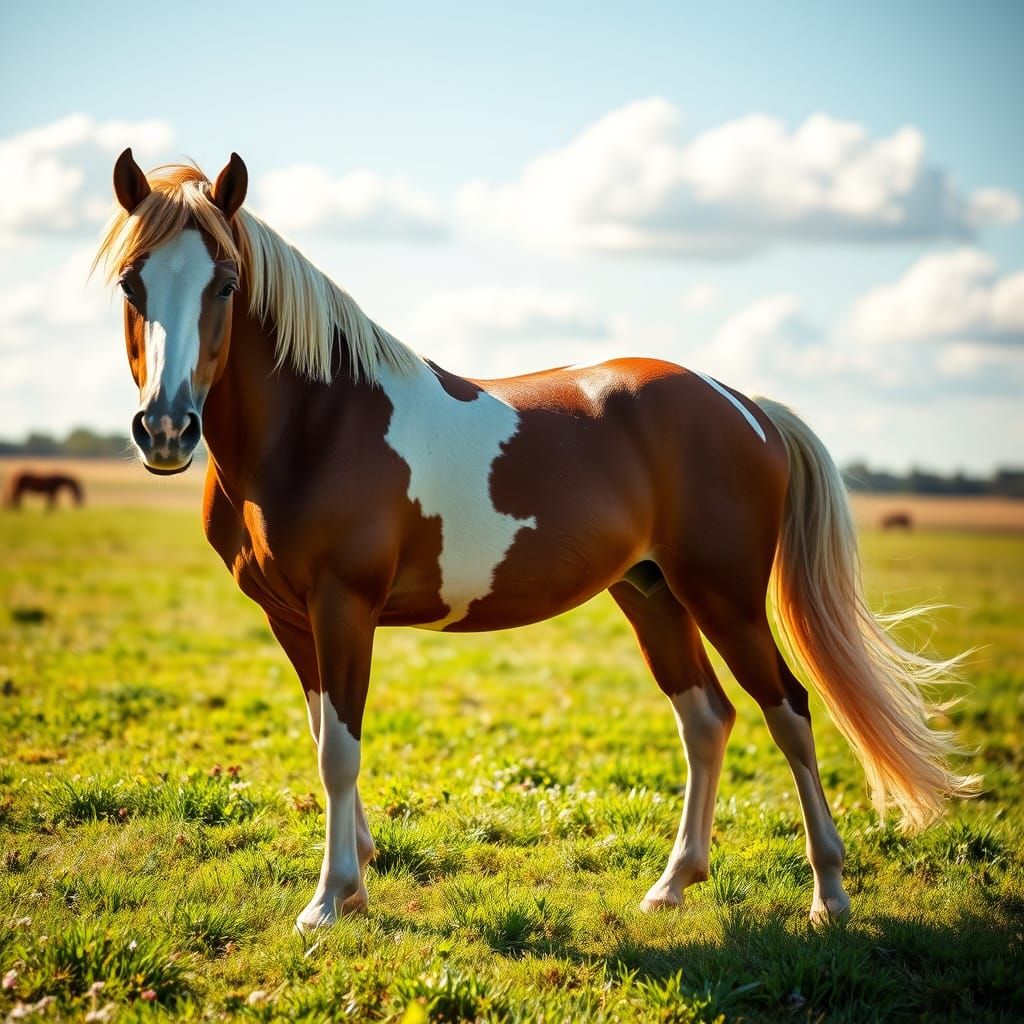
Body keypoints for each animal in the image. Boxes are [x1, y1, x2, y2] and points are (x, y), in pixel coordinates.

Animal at [95, 148, 978, 932]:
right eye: (133, 282)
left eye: (225, 283)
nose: (166, 430)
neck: (319, 423)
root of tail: (744, 405)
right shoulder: (290, 618)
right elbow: (323, 740)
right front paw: (359, 878)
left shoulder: (344, 607)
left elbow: (338, 752)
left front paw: (328, 900)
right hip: (653, 596)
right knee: (707, 720)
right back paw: (673, 885)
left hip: (724, 598)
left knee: (788, 711)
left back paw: (829, 895)